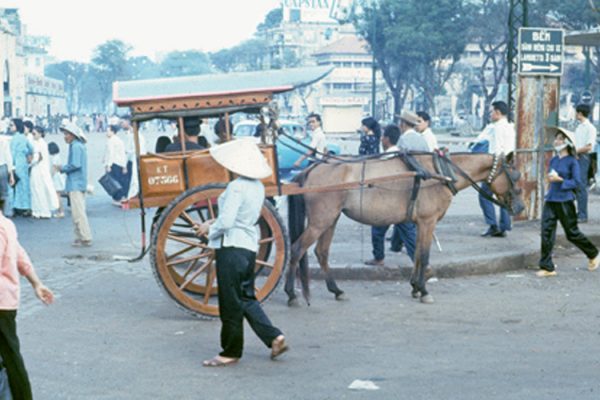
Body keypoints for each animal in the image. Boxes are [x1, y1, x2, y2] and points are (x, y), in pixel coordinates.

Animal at [284, 152, 524, 304]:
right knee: (296, 250)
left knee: (321, 252)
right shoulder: (428, 221)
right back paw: (291, 294)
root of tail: (313, 168)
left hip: (330, 219)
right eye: (515, 176)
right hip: (320, 221)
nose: (521, 207)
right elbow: (424, 256)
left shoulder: (420, 223)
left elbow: (417, 254)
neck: (440, 174)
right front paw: (424, 290)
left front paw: (416, 287)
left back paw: (336, 290)